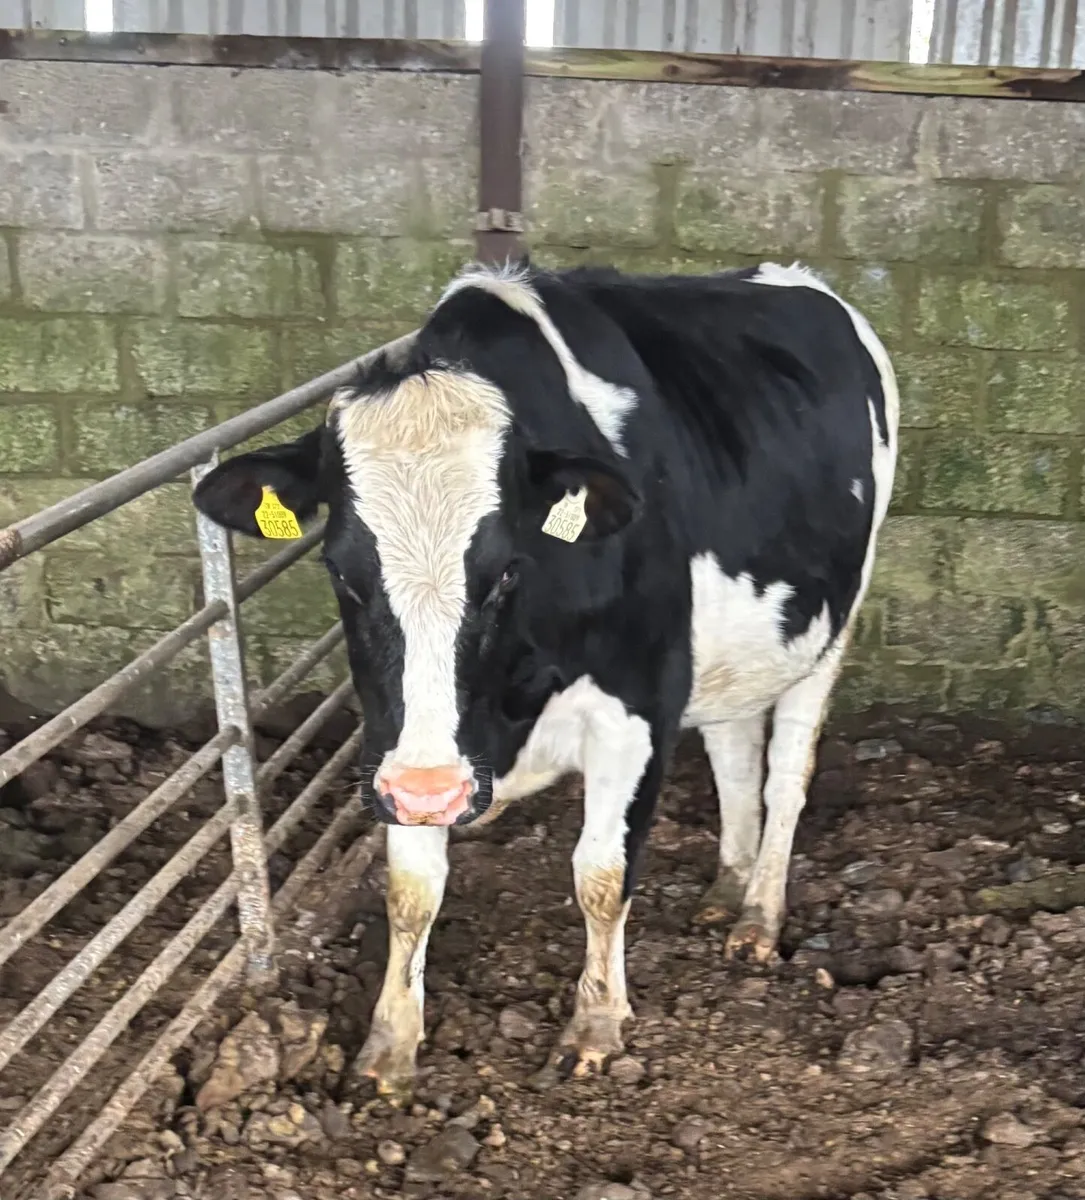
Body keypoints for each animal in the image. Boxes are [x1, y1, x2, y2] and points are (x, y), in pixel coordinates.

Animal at [192, 259, 898, 1098]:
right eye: (342, 572)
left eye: (504, 571)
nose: (434, 793)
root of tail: (787, 275)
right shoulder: (402, 743)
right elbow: (409, 887)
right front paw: (389, 1043)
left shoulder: (636, 706)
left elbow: (601, 872)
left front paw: (594, 1025)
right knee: (732, 751)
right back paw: (728, 888)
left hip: (832, 626)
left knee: (785, 775)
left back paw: (757, 913)